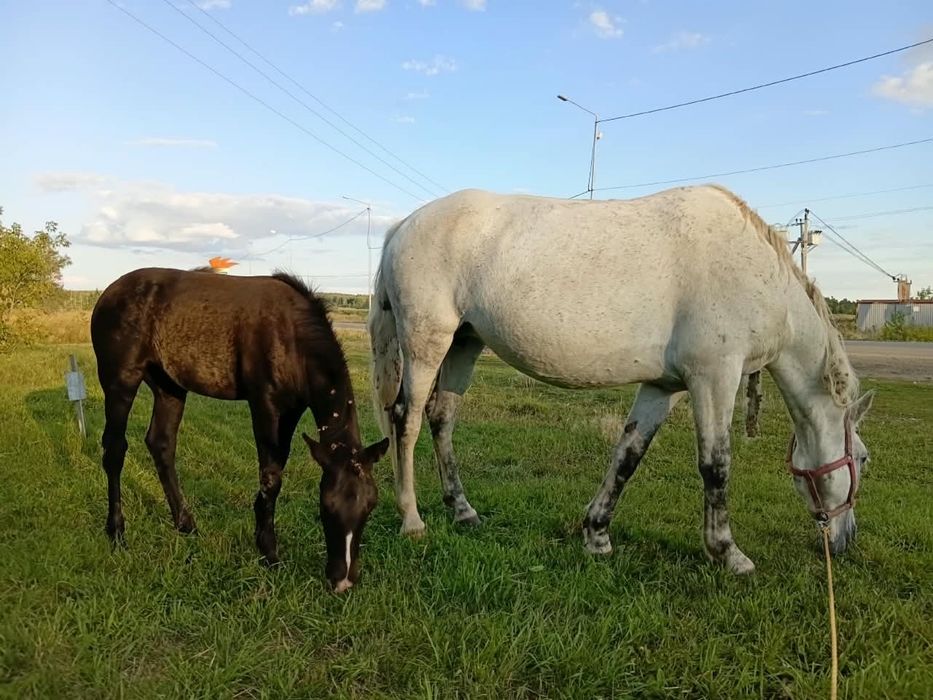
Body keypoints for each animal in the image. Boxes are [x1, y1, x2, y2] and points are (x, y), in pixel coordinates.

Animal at [91, 268, 389, 592]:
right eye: (326, 507)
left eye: (370, 506)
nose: (343, 580)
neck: (292, 335)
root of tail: (108, 293)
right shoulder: (265, 404)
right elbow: (271, 477)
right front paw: (269, 553)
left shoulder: (291, 410)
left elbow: (275, 470)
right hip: (120, 382)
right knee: (115, 449)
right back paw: (117, 532)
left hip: (169, 387)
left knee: (161, 444)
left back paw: (186, 525)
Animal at [368, 185, 873, 574]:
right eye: (865, 460)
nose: (846, 540)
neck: (753, 272)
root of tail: (405, 224)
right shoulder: (715, 377)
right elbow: (716, 465)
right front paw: (728, 553)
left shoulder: (664, 388)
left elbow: (627, 456)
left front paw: (597, 535)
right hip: (427, 342)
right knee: (406, 420)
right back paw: (412, 520)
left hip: (464, 343)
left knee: (442, 419)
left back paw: (463, 511)